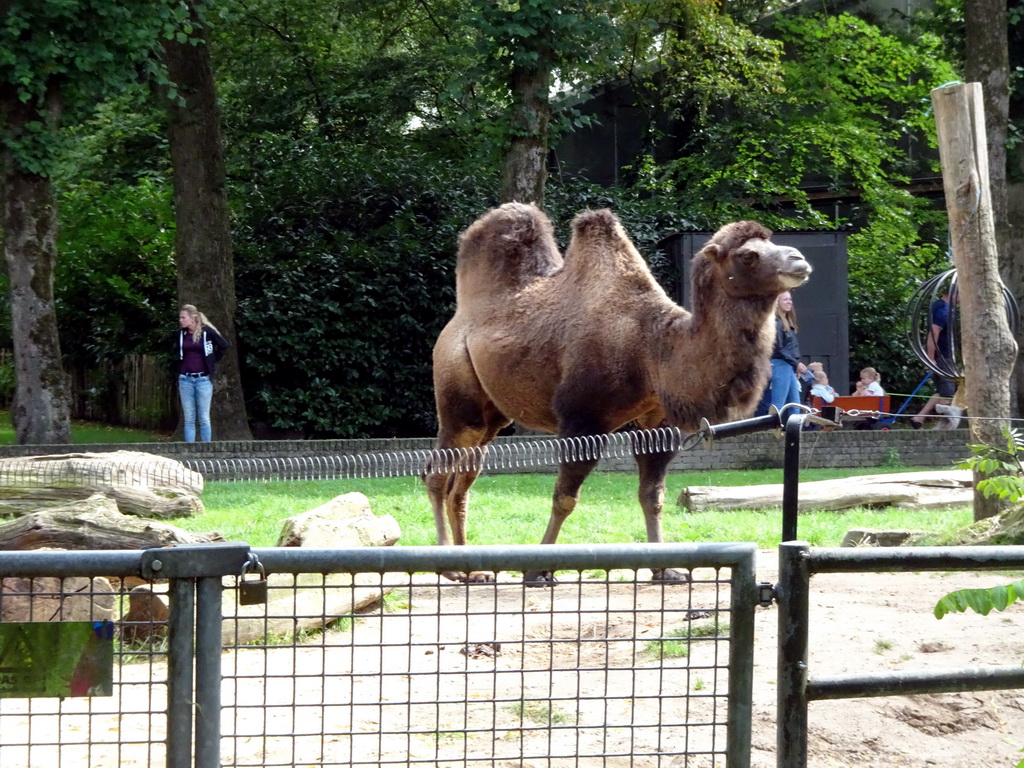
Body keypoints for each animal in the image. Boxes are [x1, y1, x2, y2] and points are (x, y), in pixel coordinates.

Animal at [421, 204, 806, 581]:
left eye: (773, 242)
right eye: (749, 255)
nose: (799, 259)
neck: (651, 348)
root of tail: (456, 324)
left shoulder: (659, 422)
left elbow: (652, 495)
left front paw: (665, 568)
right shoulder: (583, 418)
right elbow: (565, 498)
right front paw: (538, 569)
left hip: (491, 417)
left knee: (463, 481)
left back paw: (471, 569)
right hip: (457, 390)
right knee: (438, 473)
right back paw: (448, 568)